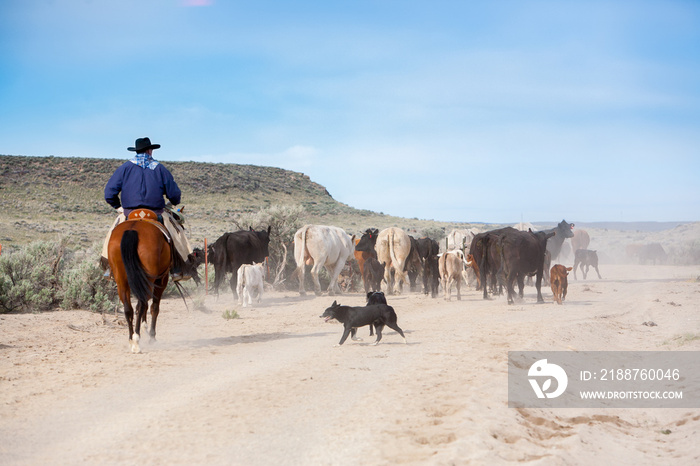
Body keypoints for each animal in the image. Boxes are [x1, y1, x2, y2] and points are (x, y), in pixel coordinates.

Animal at [108, 218, 171, 354]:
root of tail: (133, 229)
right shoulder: (161, 281)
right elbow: (154, 308)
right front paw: (152, 337)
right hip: (149, 279)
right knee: (141, 305)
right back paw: (137, 340)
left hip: (121, 281)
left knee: (129, 309)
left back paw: (132, 340)